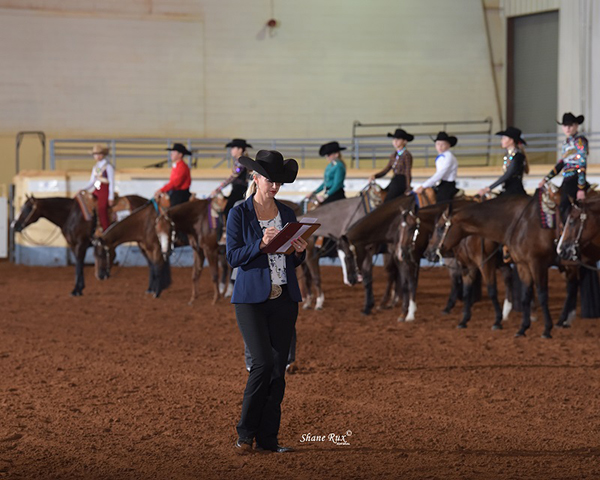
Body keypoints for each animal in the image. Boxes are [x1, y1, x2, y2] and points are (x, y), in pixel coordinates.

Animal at [13, 195, 148, 296]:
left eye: (27, 208)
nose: (14, 225)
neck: (71, 215)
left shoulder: (80, 244)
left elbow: (79, 264)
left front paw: (76, 290)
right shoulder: (73, 245)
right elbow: (79, 265)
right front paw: (79, 288)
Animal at [298, 182, 386, 310]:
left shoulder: (311, 258)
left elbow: (315, 278)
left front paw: (319, 302)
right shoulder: (304, 260)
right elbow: (306, 279)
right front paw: (308, 302)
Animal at [422, 191, 576, 338]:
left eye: (440, 227)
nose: (428, 253)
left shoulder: (530, 264)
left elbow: (494, 290)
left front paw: (498, 321)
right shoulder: (470, 266)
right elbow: (467, 292)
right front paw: (464, 320)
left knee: (571, 290)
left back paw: (561, 320)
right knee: (570, 289)